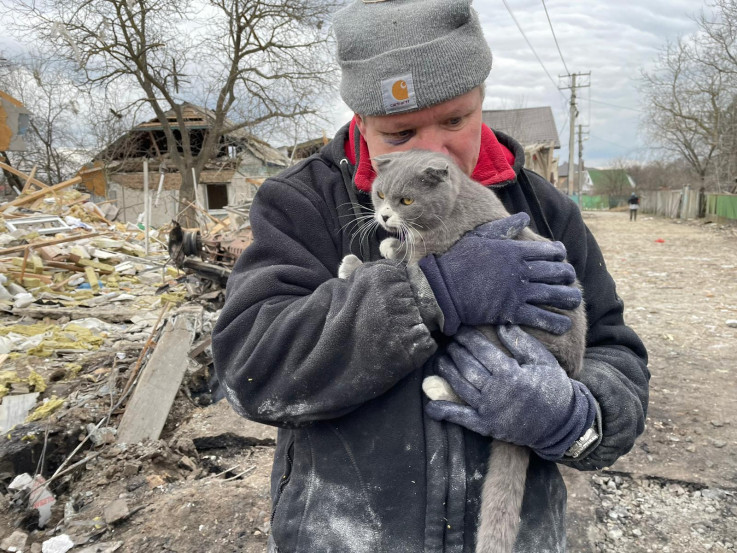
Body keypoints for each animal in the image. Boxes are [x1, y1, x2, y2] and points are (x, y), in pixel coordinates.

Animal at [340, 149, 588, 552]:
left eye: (406, 201)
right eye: (380, 194)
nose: (385, 217)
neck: (451, 210)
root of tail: (565, 373)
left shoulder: (439, 249)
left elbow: (413, 271)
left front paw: (356, 264)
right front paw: (389, 245)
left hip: (499, 331)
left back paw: (439, 387)